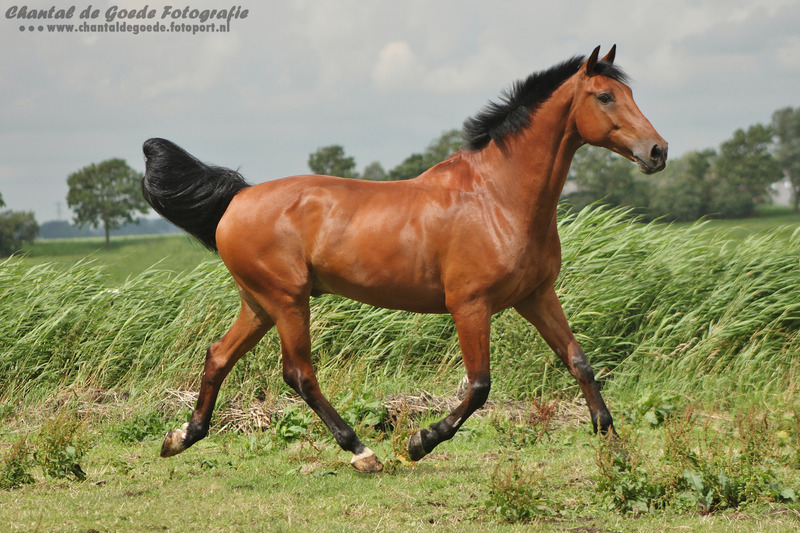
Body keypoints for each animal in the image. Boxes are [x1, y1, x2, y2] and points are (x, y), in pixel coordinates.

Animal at [142, 45, 667, 473]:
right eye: (605, 96)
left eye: (627, 92)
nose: (658, 151)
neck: (497, 197)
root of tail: (238, 200)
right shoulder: (470, 306)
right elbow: (479, 386)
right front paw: (420, 442)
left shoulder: (536, 296)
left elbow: (579, 362)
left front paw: (615, 446)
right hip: (288, 301)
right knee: (299, 374)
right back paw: (361, 452)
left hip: (259, 303)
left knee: (218, 356)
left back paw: (181, 437)